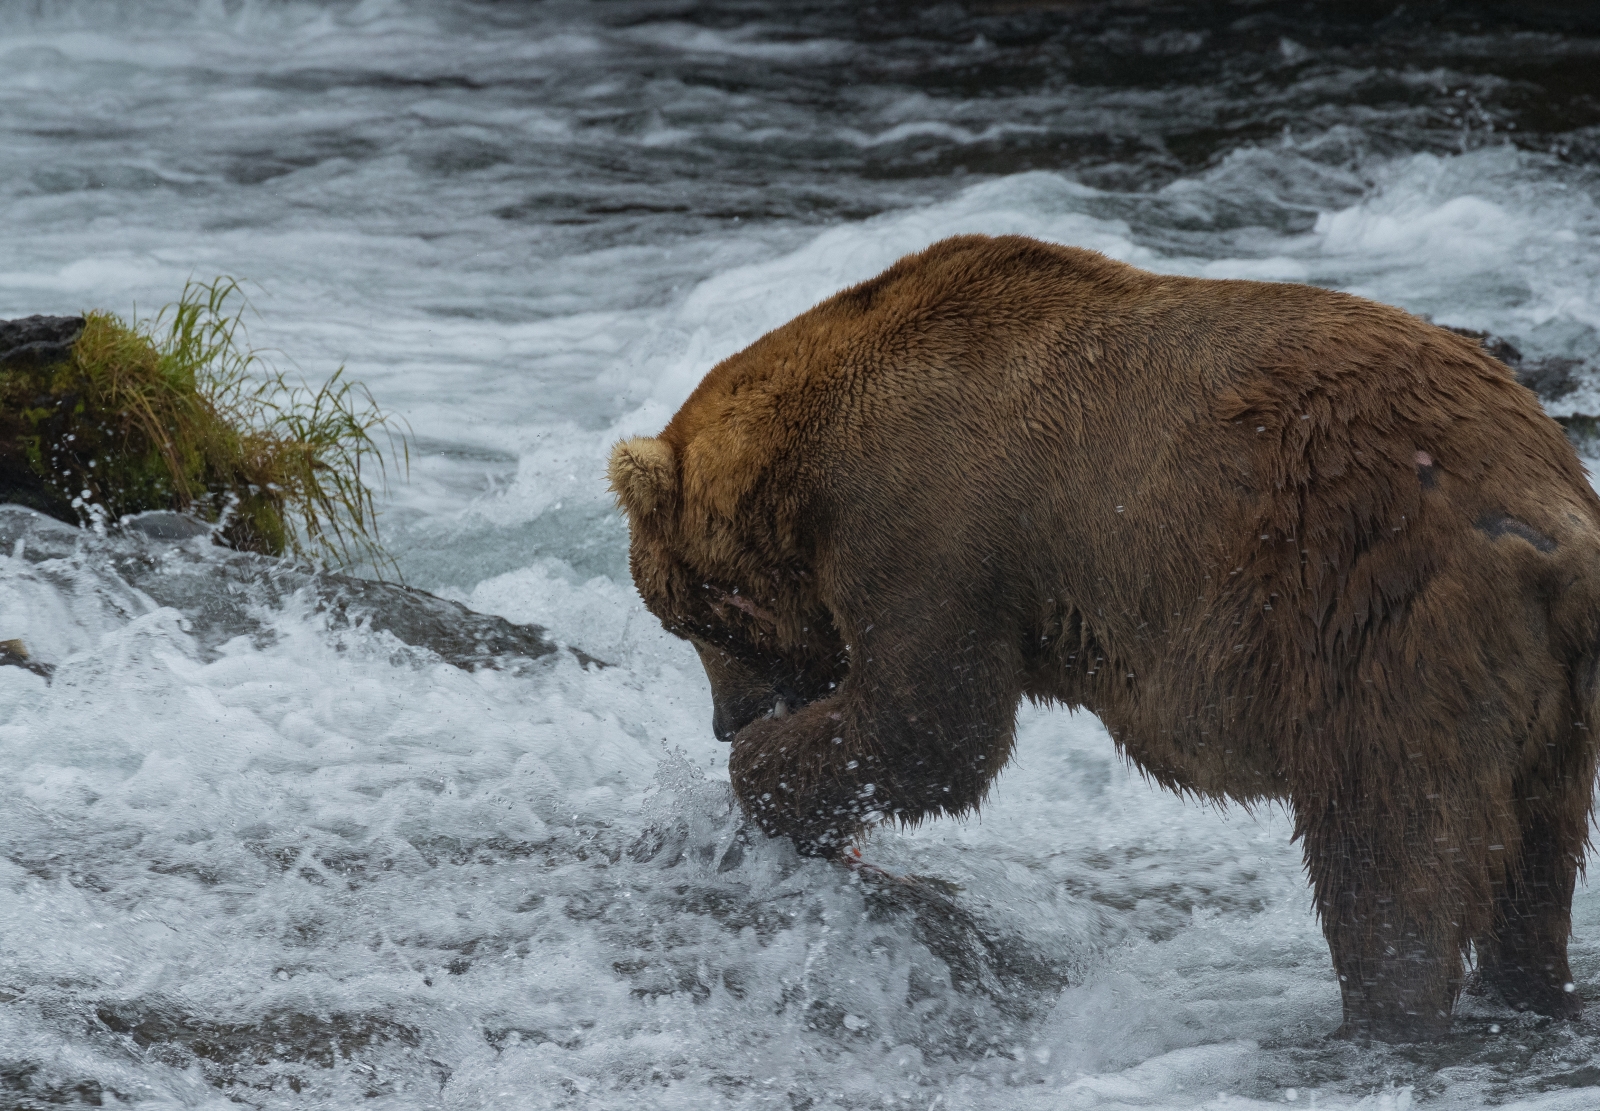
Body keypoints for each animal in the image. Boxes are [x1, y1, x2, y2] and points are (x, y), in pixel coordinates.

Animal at [608, 232, 1600, 1043]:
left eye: (686, 618)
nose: (729, 719)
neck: (808, 470)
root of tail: (1555, 512)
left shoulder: (932, 527)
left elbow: (931, 726)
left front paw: (767, 777)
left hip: (1381, 616)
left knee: (1387, 844)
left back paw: (1384, 1017)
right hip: (1555, 697)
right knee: (1534, 864)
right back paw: (1529, 989)